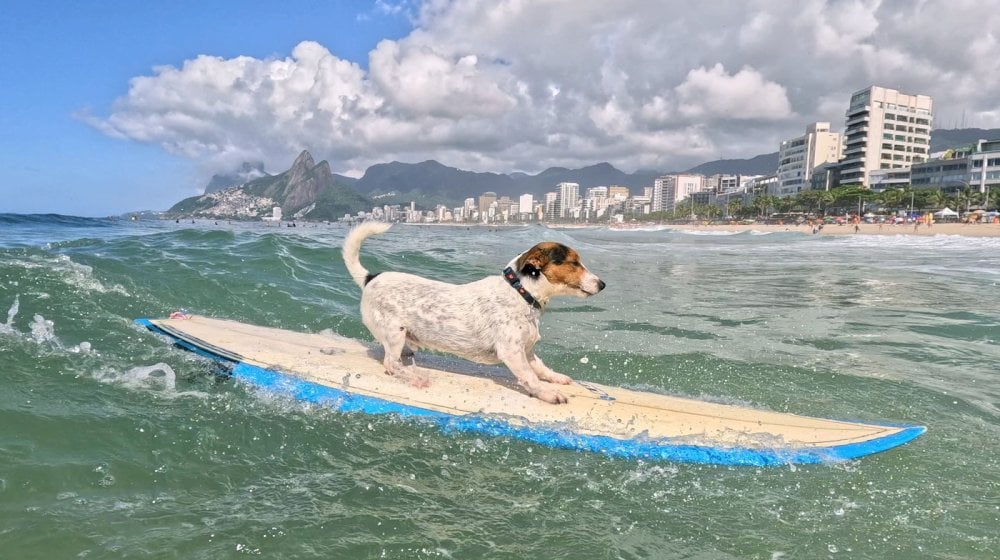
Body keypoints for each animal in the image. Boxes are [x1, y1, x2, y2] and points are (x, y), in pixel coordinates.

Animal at [344, 222, 604, 402]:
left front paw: (556, 378)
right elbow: (530, 377)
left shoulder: (527, 351)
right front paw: (548, 394)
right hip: (394, 332)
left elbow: (540, 368)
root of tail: (370, 277)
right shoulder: (512, 352)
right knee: (390, 363)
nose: (602, 284)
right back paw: (415, 378)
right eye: (574, 263)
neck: (521, 293)